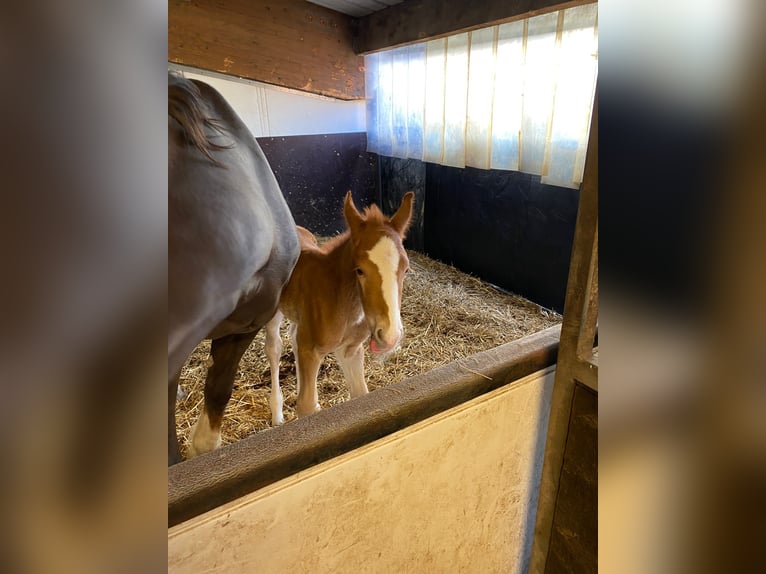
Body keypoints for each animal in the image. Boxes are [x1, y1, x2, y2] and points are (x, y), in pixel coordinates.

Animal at [268, 191, 416, 426]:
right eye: (360, 270)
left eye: (406, 268)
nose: (390, 336)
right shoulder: (311, 349)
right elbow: (306, 406)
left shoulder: (350, 349)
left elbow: (360, 394)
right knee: (274, 347)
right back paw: (277, 414)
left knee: (293, 335)